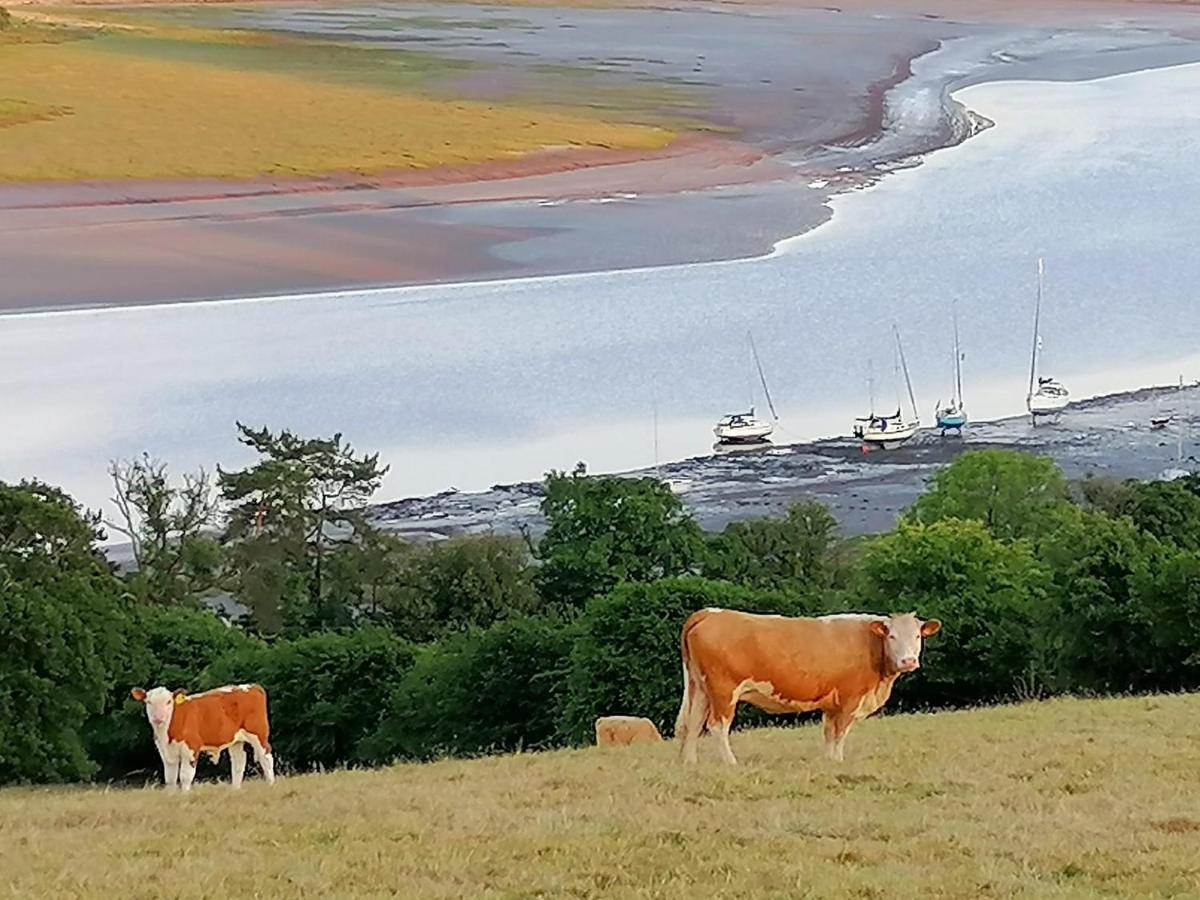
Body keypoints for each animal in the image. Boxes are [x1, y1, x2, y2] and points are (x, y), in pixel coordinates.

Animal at [131, 686, 276, 792]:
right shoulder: (165, 752)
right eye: (149, 702)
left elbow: (185, 776)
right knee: (238, 761)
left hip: (259, 733)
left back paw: (271, 785)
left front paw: (185, 795)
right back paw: (235, 789)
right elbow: (170, 778)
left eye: (168, 701)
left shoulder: (191, 748)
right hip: (236, 740)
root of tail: (252, 687)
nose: (158, 718)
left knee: (266, 757)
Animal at [676, 609, 936, 763]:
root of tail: (711, 613)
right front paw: (838, 761)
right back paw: (731, 763)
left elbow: (829, 733)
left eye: (917, 636)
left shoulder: (832, 703)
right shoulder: (850, 699)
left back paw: (690, 763)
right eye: (892, 636)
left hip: (700, 688)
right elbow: (840, 733)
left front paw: (828, 762)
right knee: (717, 726)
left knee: (693, 723)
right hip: (723, 690)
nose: (908, 661)